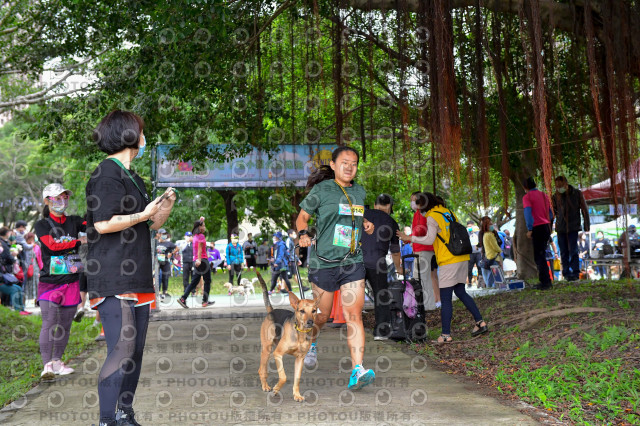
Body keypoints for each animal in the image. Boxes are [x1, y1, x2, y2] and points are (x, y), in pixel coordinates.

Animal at [254, 272, 316, 402]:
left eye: (314, 311)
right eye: (302, 311)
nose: (310, 322)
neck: (300, 333)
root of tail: (272, 311)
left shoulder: (300, 359)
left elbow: (297, 379)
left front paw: (296, 395)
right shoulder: (278, 354)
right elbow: (283, 377)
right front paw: (276, 389)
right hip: (267, 349)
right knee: (261, 370)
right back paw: (265, 386)